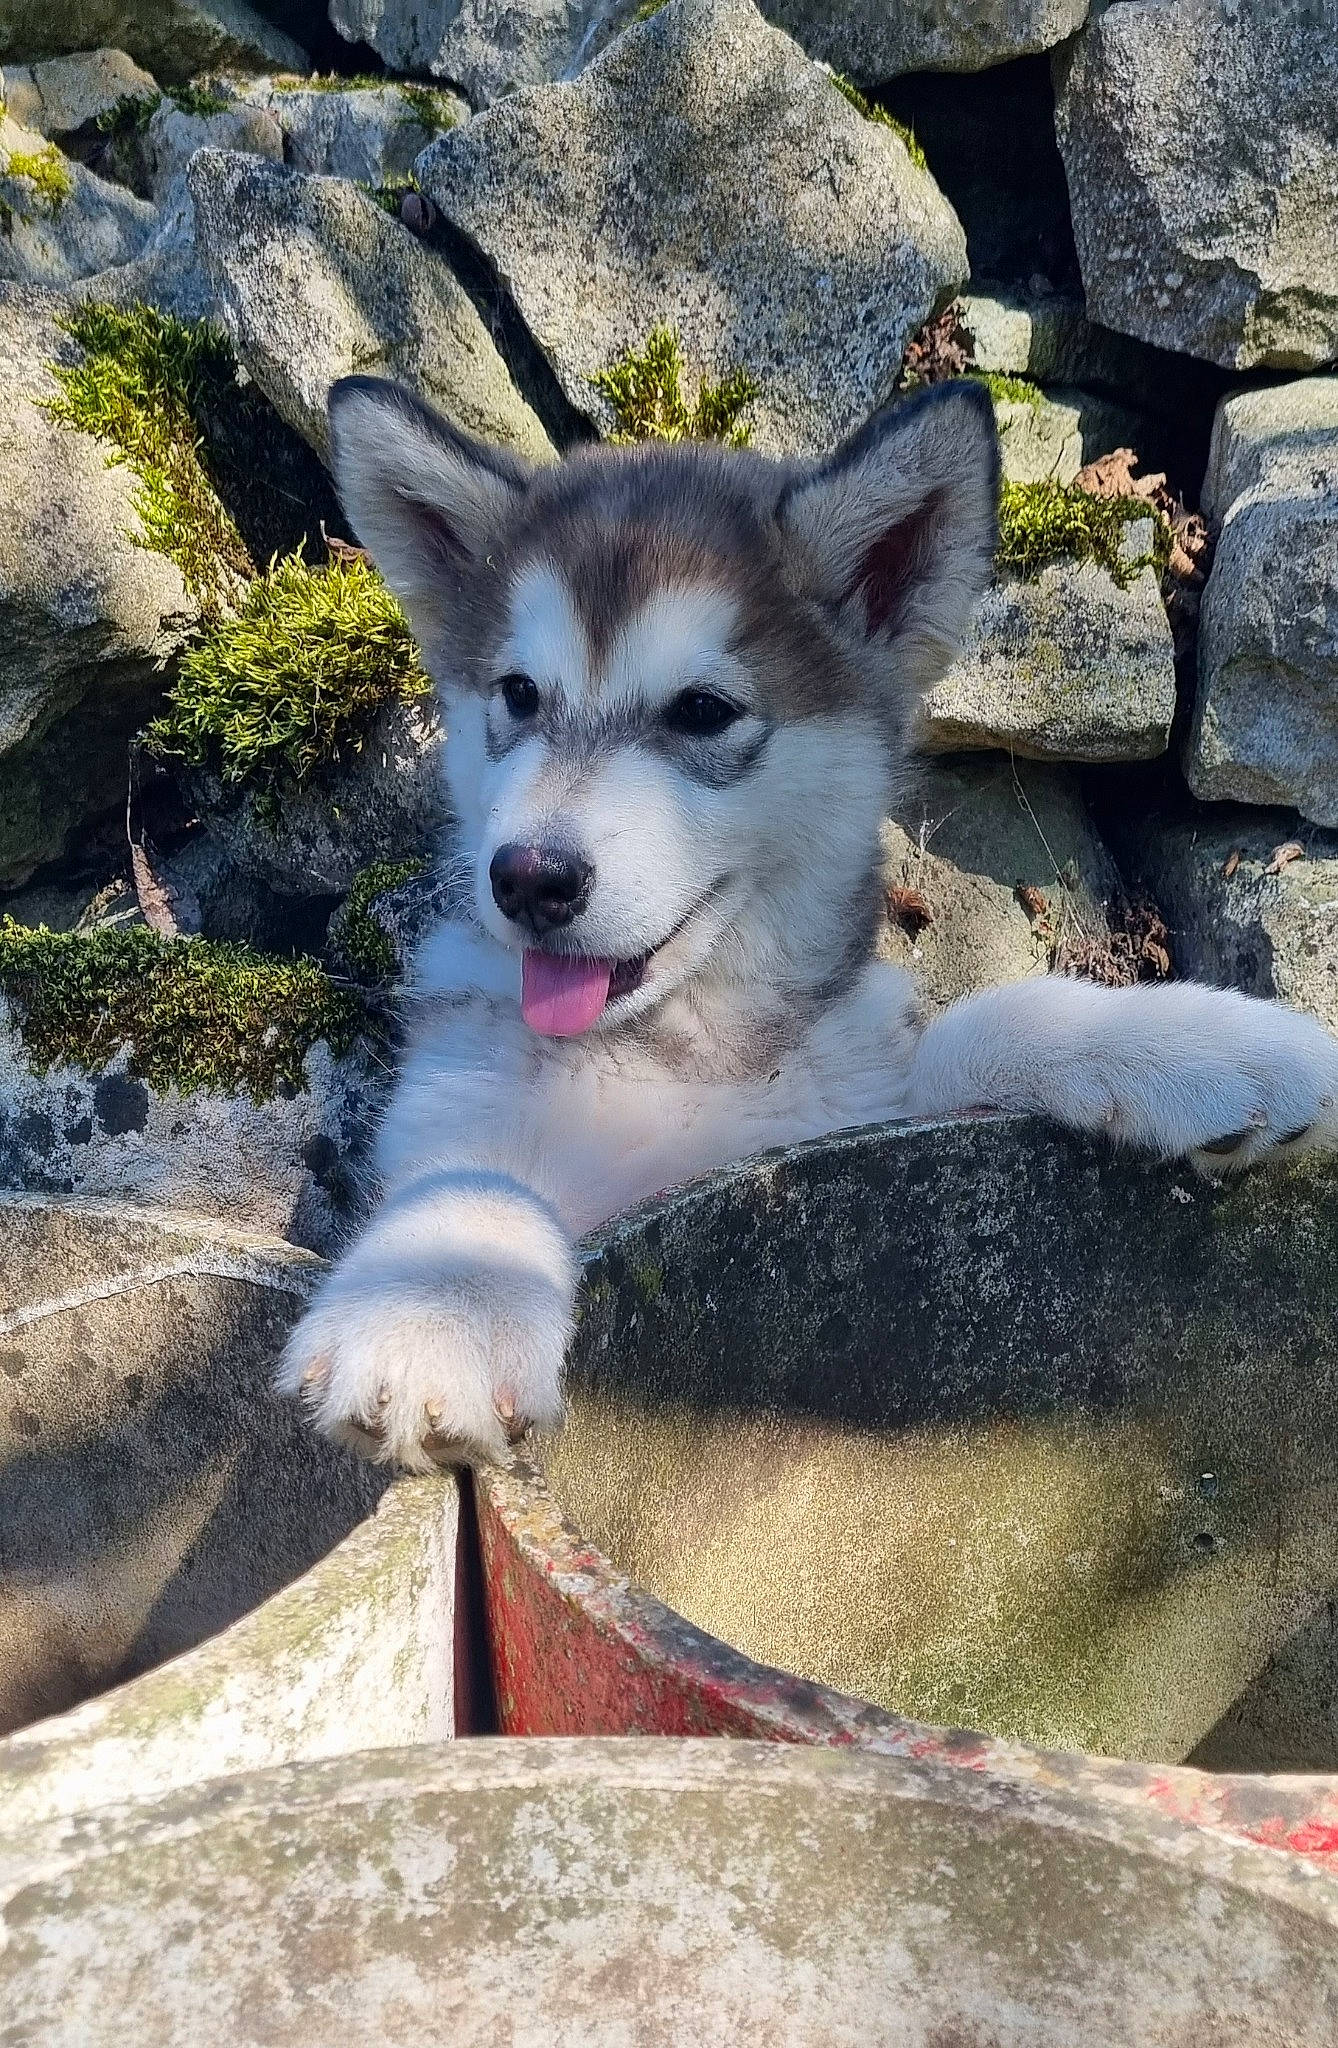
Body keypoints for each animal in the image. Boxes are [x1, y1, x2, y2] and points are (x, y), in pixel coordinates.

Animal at [279, 374, 1338, 1471]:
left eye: (703, 711)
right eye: (518, 695)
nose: (530, 879)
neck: (682, 1055)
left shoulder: (847, 1106)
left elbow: (987, 1021)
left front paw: (1201, 1044)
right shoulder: (450, 1107)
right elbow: (479, 1178)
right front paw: (433, 1302)